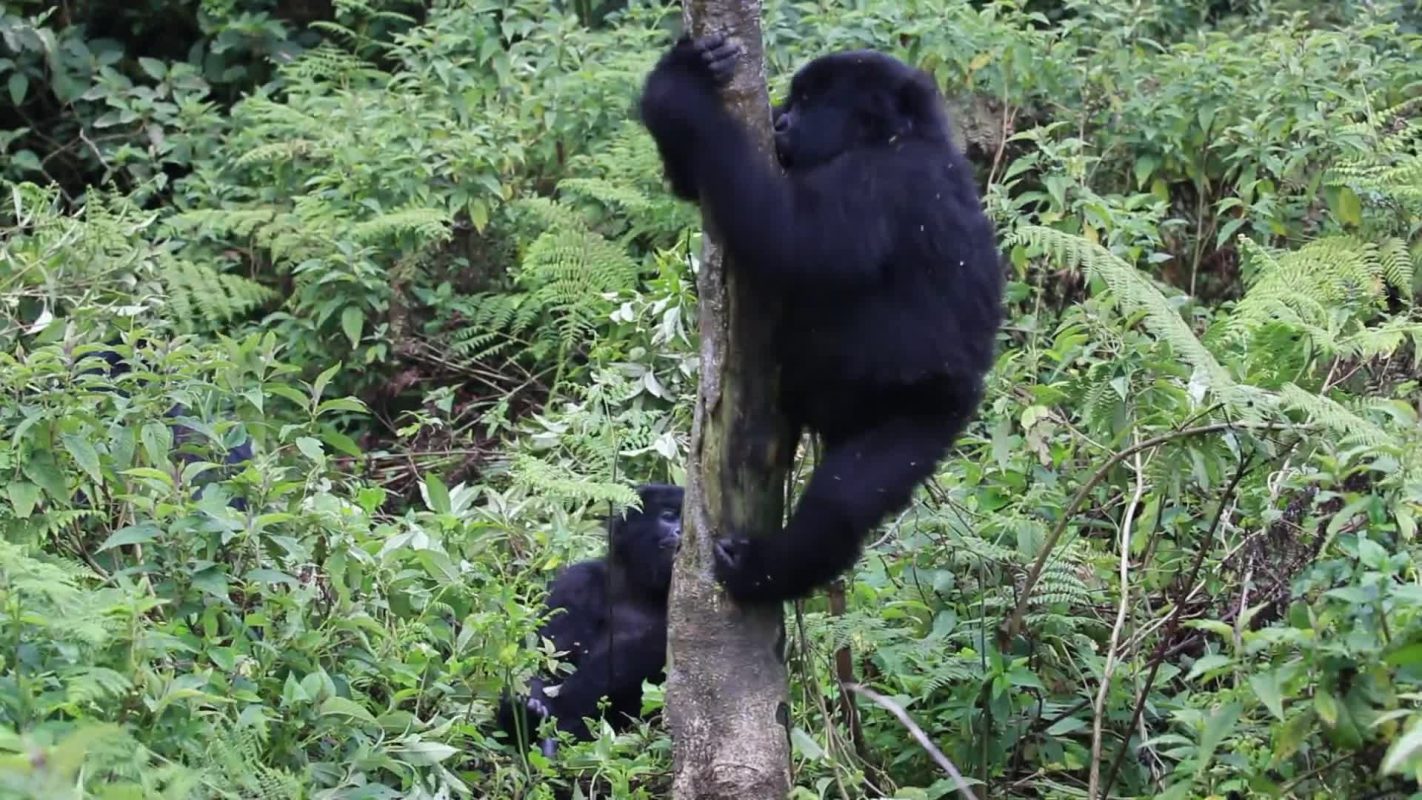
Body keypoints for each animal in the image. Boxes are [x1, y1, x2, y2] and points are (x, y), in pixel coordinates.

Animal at [639, 36, 1006, 602]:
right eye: (793, 99)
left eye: (812, 101)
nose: (781, 120)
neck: (899, 133)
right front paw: (687, 70)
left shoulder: (875, 182)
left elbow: (783, 233)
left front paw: (674, 92)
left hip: (918, 418)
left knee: (839, 506)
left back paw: (767, 571)